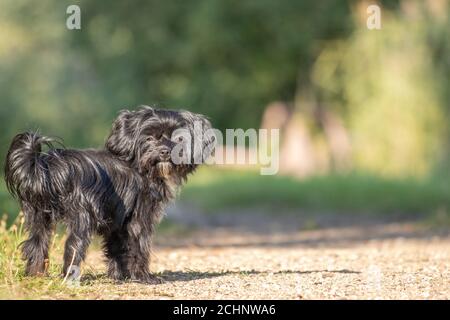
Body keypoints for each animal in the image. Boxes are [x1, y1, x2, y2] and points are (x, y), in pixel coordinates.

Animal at [3, 106, 213, 284]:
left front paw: (118, 277)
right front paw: (143, 277)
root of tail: (52, 165)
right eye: (150, 138)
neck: (139, 167)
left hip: (38, 217)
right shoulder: (139, 220)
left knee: (35, 244)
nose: (165, 151)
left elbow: (116, 250)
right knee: (72, 247)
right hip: (82, 217)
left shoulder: (117, 223)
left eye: (179, 139)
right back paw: (68, 279)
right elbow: (139, 248)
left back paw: (35, 276)